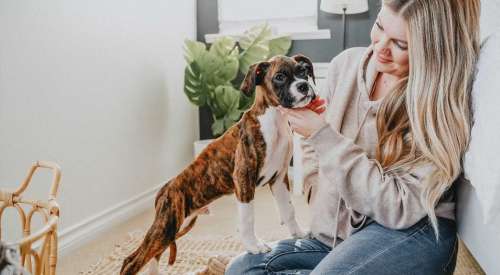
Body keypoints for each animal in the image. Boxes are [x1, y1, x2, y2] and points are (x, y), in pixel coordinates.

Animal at [120, 54, 316, 275]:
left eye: (303, 71)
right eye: (280, 77)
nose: (303, 86)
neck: (274, 120)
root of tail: (164, 190)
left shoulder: (280, 178)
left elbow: (289, 210)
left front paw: (299, 234)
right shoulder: (244, 179)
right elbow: (247, 218)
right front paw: (254, 246)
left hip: (175, 226)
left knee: (154, 255)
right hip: (166, 226)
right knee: (132, 260)